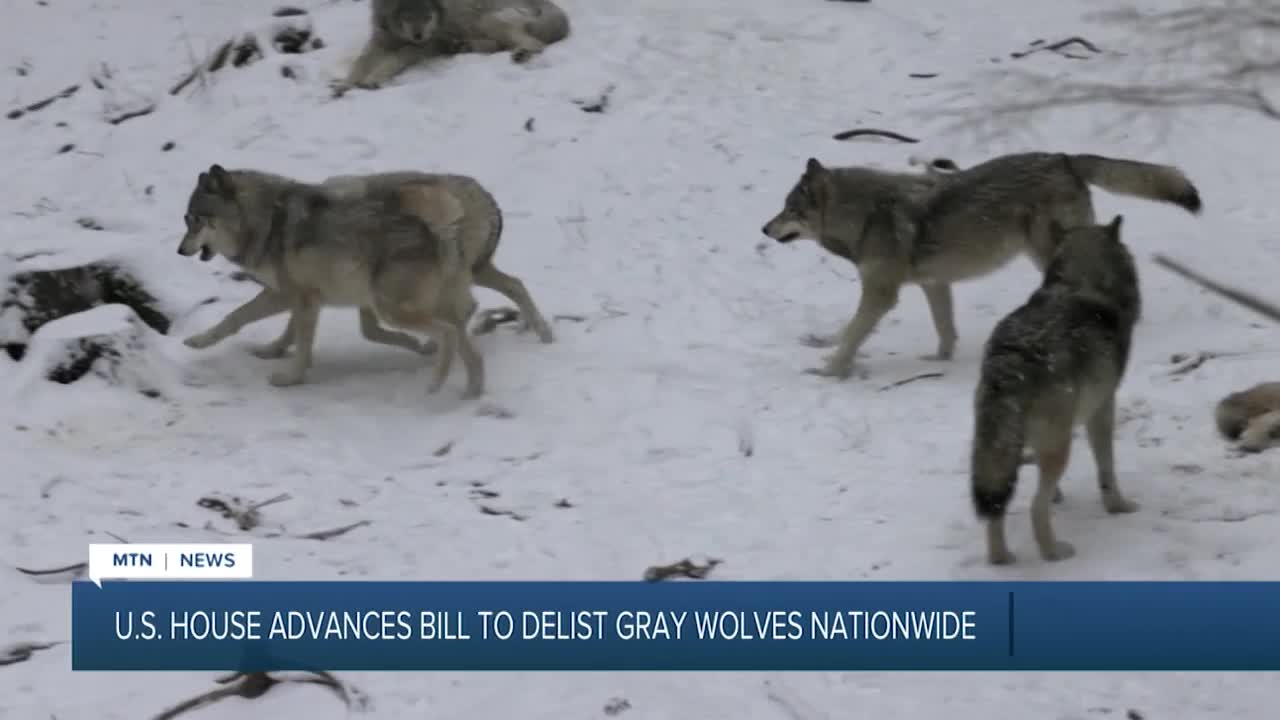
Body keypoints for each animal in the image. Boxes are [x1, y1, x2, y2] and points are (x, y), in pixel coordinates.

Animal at [177, 165, 488, 397]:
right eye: (186, 220)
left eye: (196, 220)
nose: (180, 250)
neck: (265, 221)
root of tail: (437, 232)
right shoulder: (297, 297)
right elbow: (237, 319)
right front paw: (202, 342)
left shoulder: (296, 297)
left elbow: (298, 343)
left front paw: (291, 379)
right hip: (414, 307)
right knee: (469, 345)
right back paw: (470, 392)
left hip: (392, 310)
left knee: (448, 333)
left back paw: (436, 383)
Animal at [337, 0, 571, 93]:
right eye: (408, 16)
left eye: (427, 16)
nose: (419, 35)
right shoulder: (378, 42)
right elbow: (359, 64)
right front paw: (344, 85)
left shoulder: (425, 46)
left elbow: (393, 61)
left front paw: (372, 80)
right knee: (498, 45)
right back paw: (462, 46)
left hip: (486, 21)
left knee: (536, 44)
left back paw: (522, 54)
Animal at [761, 152, 1201, 379]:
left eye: (789, 210)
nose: (764, 228)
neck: (865, 216)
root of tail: (1063, 158)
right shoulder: (934, 283)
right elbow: (944, 329)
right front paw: (938, 361)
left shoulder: (882, 293)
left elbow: (854, 333)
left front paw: (831, 369)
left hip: (1050, 252)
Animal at [969, 215, 1141, 565]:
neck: (1080, 283)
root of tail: (1010, 363)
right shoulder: (1103, 407)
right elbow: (1107, 469)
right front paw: (1118, 506)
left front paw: (1062, 497)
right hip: (1060, 447)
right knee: (1036, 507)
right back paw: (1053, 552)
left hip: (997, 445)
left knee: (996, 508)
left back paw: (1001, 558)